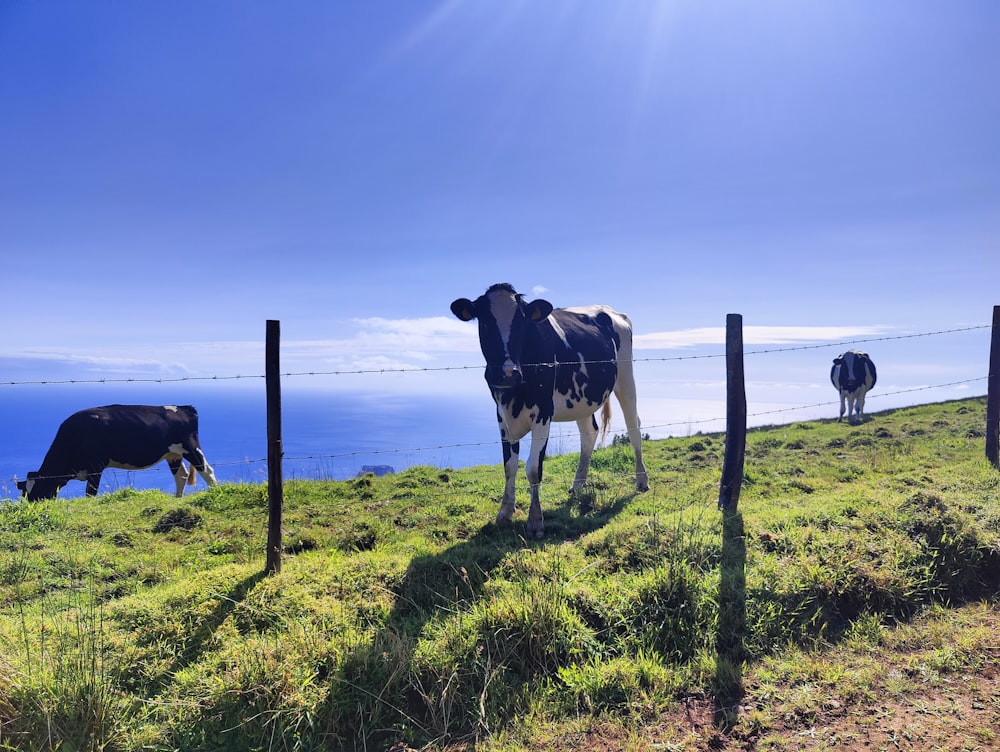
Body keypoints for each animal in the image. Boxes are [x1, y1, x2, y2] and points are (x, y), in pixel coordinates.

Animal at [15, 402, 220, 502]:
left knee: (206, 470)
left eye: (38, 491)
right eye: (25, 494)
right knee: (181, 475)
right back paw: (177, 498)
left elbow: (90, 493)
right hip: (173, 454)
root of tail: (185, 408)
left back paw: (216, 492)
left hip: (190, 447)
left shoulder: (96, 466)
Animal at [452, 280, 648, 536]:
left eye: (522, 322)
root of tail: (610, 310)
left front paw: (535, 521)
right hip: (582, 398)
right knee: (589, 432)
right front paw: (505, 513)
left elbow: (534, 469)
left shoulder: (543, 413)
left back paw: (642, 481)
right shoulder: (501, 415)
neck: (515, 394)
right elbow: (509, 467)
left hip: (625, 377)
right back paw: (577, 486)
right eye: (484, 321)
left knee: (634, 427)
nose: (507, 373)